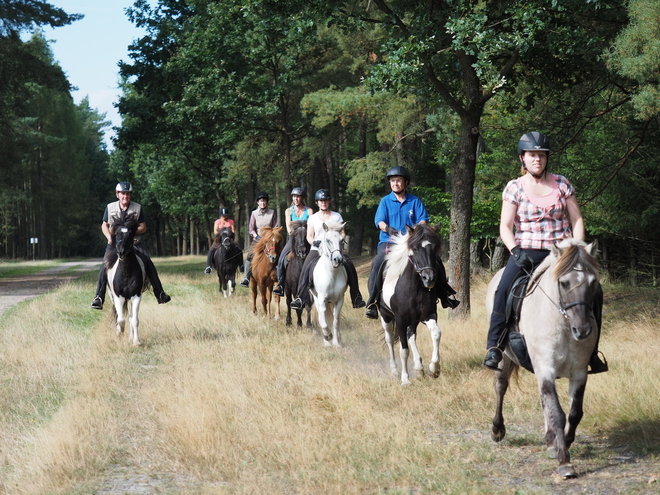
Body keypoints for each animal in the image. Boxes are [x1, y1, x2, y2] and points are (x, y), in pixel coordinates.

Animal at [484, 240, 604, 480]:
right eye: (564, 283)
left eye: (593, 282)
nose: (583, 330)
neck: (563, 323)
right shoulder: (545, 368)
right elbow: (557, 414)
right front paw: (564, 461)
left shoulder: (579, 372)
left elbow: (574, 413)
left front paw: (564, 441)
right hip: (504, 358)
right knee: (501, 387)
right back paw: (497, 430)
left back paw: (550, 440)